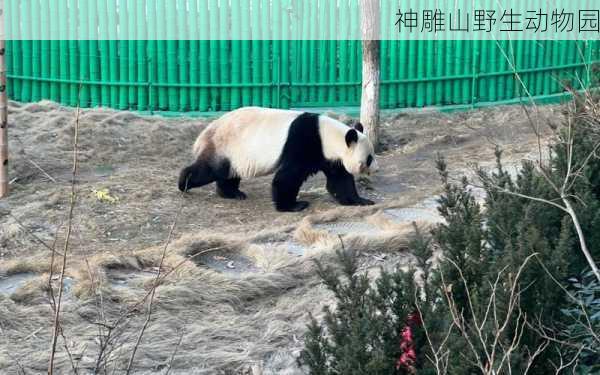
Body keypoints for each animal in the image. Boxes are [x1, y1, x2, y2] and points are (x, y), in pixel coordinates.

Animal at [176, 107, 380, 213]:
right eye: (369, 158)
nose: (376, 170)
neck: (327, 135)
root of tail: (206, 132)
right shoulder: (303, 142)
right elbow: (287, 177)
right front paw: (293, 205)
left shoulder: (330, 157)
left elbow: (340, 180)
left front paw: (361, 200)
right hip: (224, 144)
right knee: (210, 169)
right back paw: (183, 182)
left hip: (233, 153)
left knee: (228, 174)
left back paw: (233, 193)